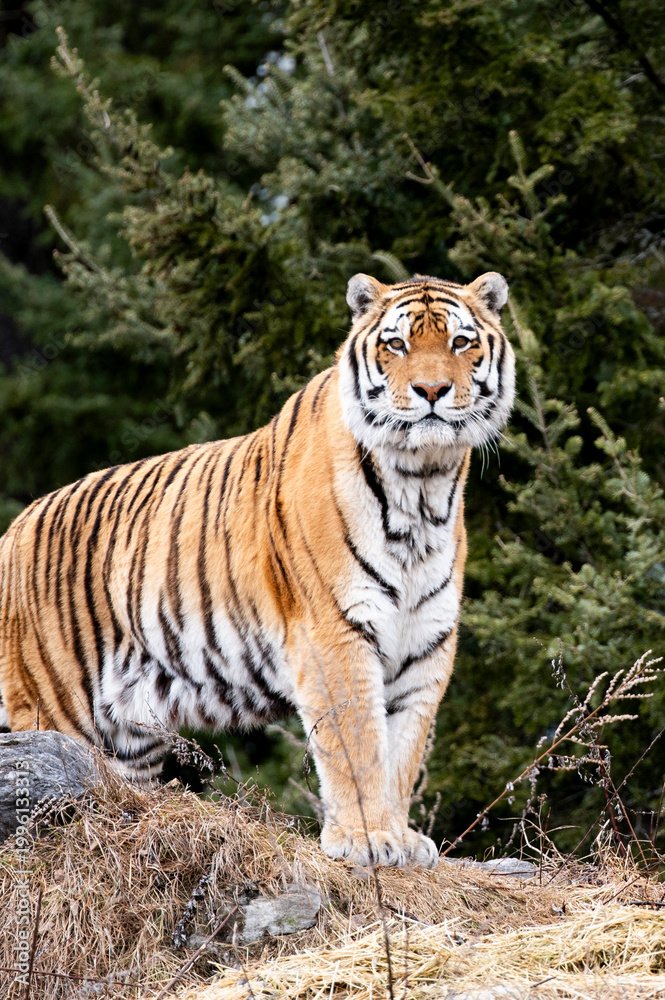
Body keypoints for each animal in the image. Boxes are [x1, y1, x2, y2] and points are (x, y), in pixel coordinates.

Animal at [0, 271, 515, 868]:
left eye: (461, 342)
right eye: (396, 345)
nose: (432, 391)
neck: (422, 487)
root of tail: (13, 530)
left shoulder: (426, 644)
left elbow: (403, 751)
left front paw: (403, 839)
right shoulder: (335, 632)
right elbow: (358, 744)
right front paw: (367, 839)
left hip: (128, 738)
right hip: (58, 714)